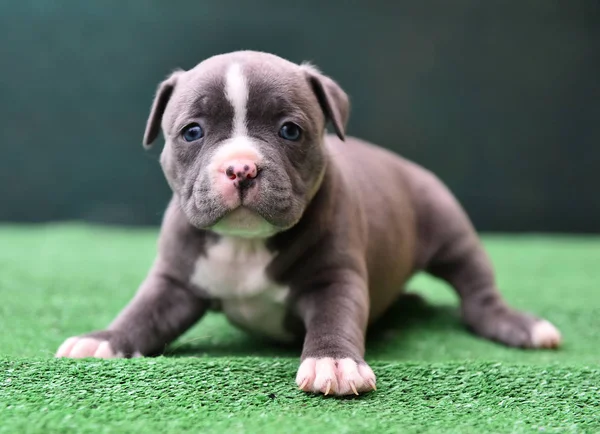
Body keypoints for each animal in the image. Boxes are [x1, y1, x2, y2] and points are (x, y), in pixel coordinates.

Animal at [56, 50, 564, 396]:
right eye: (192, 132)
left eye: (290, 130)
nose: (240, 168)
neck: (244, 244)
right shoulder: (175, 281)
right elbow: (143, 311)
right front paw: (103, 341)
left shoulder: (334, 279)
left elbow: (334, 317)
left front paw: (333, 363)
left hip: (452, 231)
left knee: (478, 292)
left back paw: (520, 326)